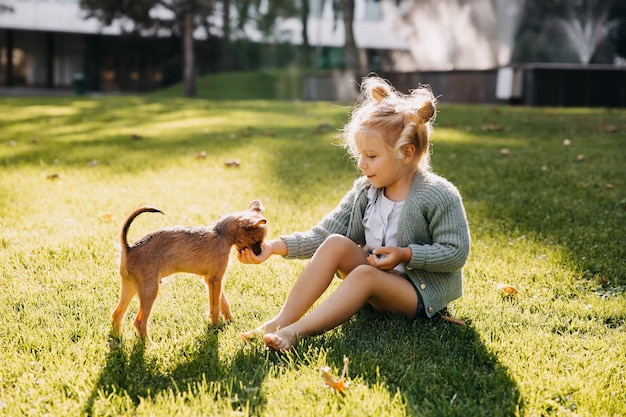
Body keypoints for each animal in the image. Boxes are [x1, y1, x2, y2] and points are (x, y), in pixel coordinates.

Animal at [112, 201, 266, 342]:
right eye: (256, 241)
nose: (259, 252)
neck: (222, 234)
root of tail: (129, 248)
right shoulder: (215, 280)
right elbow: (215, 307)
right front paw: (215, 327)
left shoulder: (212, 280)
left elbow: (224, 302)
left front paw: (230, 320)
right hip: (149, 291)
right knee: (139, 322)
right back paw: (150, 345)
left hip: (131, 287)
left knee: (116, 314)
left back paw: (117, 339)